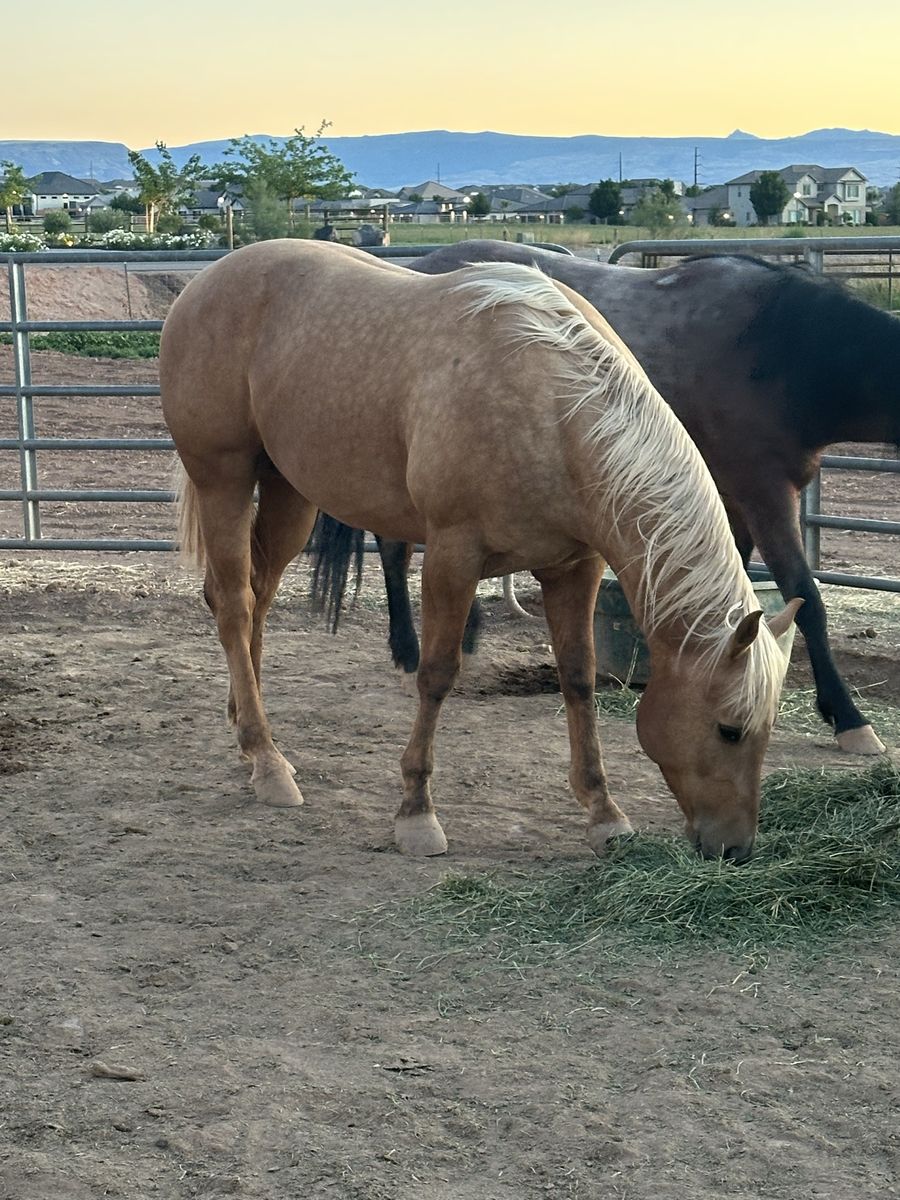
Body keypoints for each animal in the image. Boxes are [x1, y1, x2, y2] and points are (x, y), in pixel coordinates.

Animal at [160, 239, 798, 863]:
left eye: (766, 730)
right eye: (729, 729)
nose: (735, 848)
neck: (552, 409)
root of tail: (202, 284)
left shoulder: (574, 567)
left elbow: (579, 677)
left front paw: (604, 813)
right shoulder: (453, 555)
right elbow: (438, 674)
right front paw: (416, 813)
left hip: (290, 492)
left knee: (256, 596)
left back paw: (251, 736)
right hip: (224, 478)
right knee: (235, 602)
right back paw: (266, 761)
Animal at [314, 240, 898, 755]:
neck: (779, 350)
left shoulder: (730, 501)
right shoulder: (765, 493)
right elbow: (807, 598)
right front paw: (850, 720)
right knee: (394, 550)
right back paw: (409, 652)